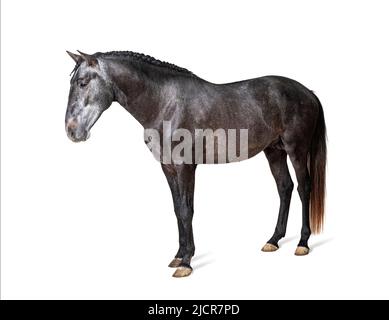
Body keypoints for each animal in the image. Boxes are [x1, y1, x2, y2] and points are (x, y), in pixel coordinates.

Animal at [63, 50, 324, 278]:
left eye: (83, 82)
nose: (72, 131)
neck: (165, 103)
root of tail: (307, 92)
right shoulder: (168, 168)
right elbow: (178, 209)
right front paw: (178, 256)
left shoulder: (185, 166)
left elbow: (187, 210)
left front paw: (186, 263)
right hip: (274, 151)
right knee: (285, 188)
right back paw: (273, 240)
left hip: (296, 150)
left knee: (304, 188)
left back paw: (302, 243)